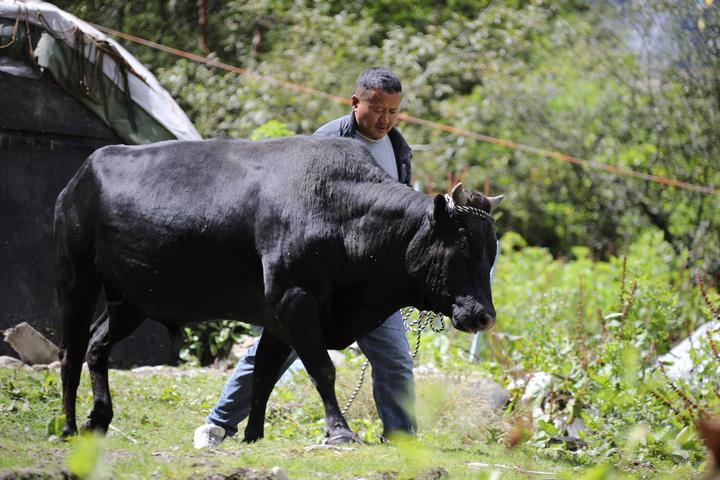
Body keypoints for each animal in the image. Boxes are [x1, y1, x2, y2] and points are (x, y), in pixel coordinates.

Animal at [56, 135, 500, 442]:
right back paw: (68, 425)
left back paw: (100, 418)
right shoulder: (294, 300)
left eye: (492, 250)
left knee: (97, 346)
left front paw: (254, 434)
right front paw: (339, 430)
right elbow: (321, 369)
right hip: (76, 278)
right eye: (462, 245)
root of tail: (82, 174)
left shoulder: (278, 317)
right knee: (71, 352)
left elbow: (264, 375)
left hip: (128, 300)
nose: (484, 316)